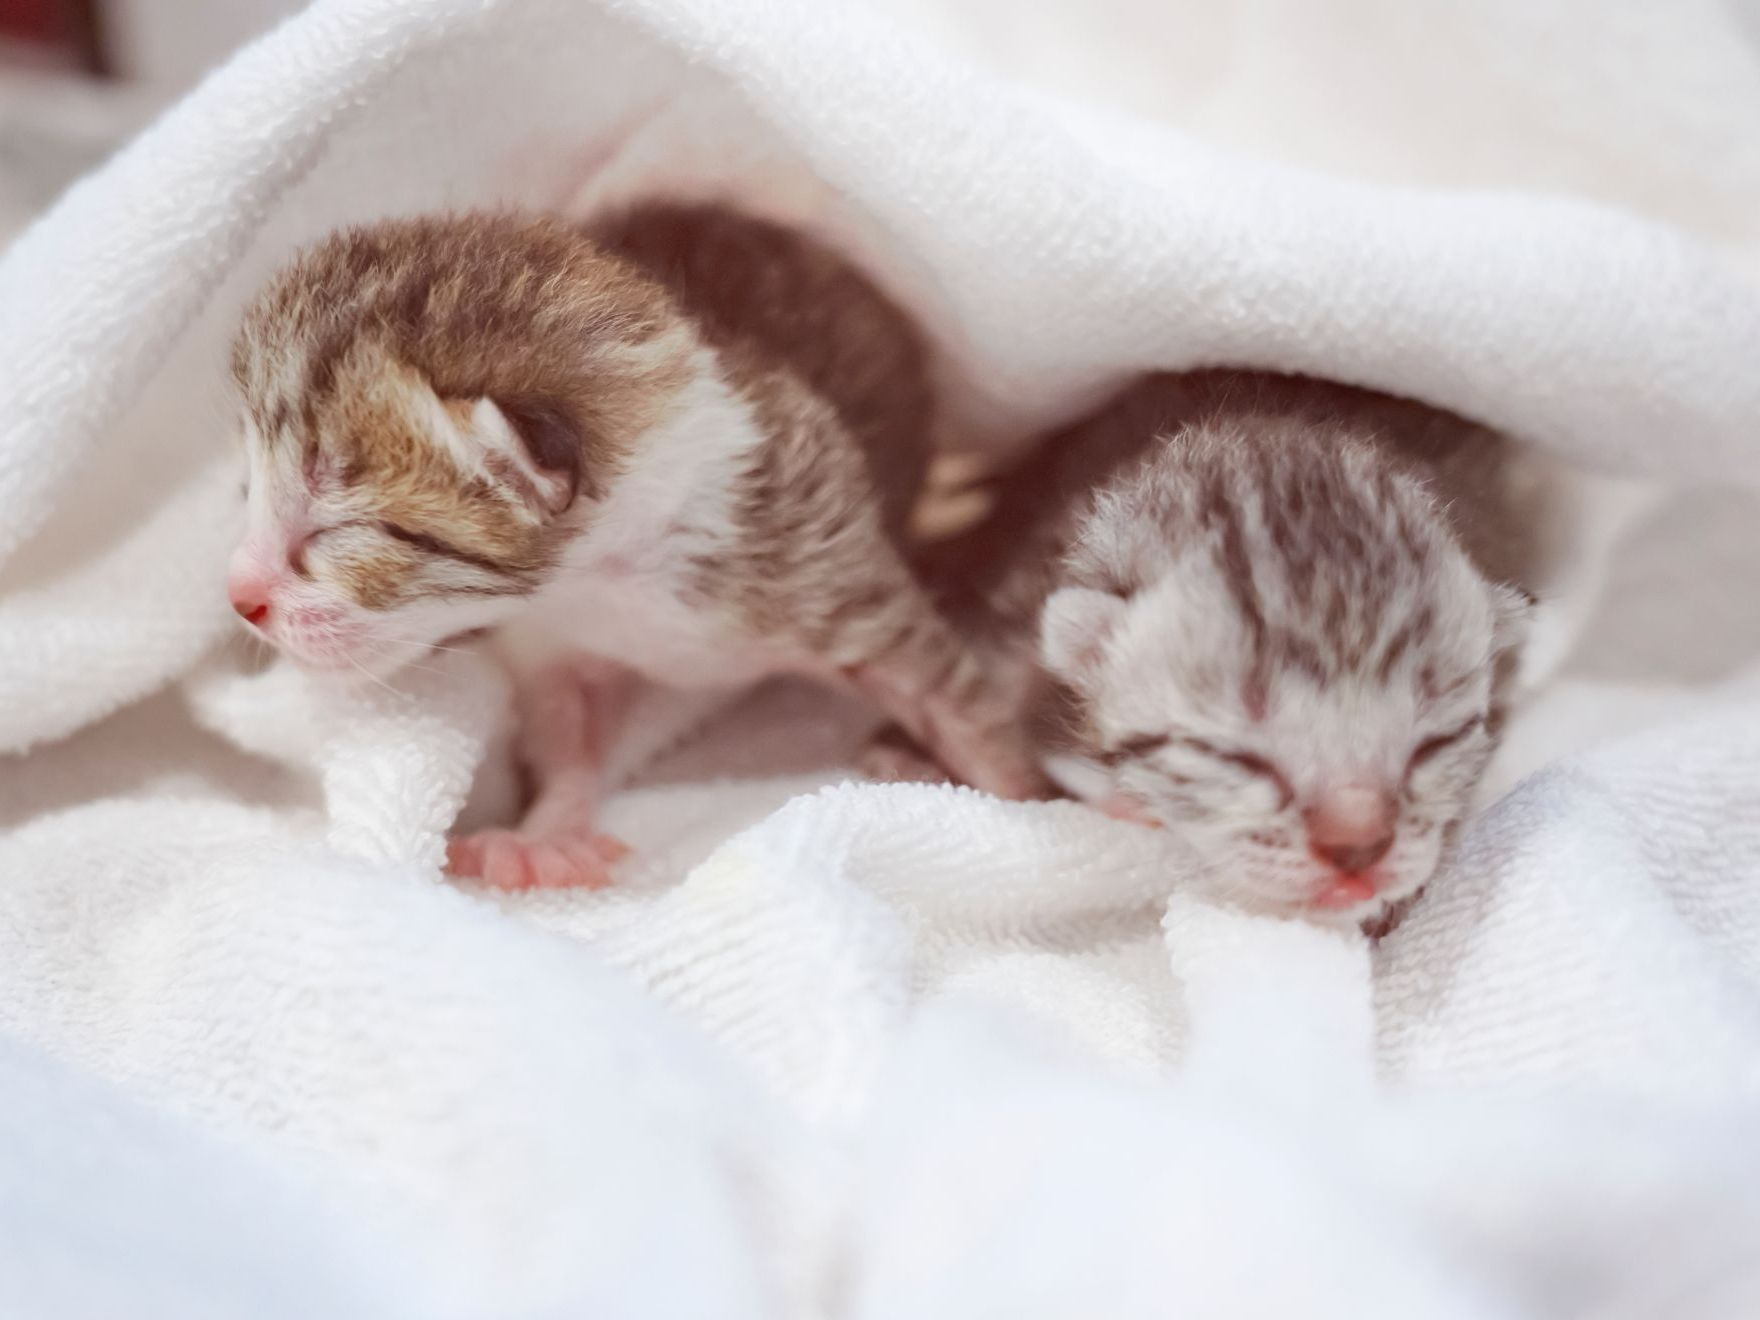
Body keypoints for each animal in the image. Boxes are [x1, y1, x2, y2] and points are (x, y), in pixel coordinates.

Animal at [220, 204, 1041, 890]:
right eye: (247, 492)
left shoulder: (824, 562)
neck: (613, 580)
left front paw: (1034, 804)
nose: (239, 598)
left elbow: (957, 704)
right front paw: (547, 830)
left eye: (339, 532)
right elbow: (566, 730)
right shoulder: (551, 641)